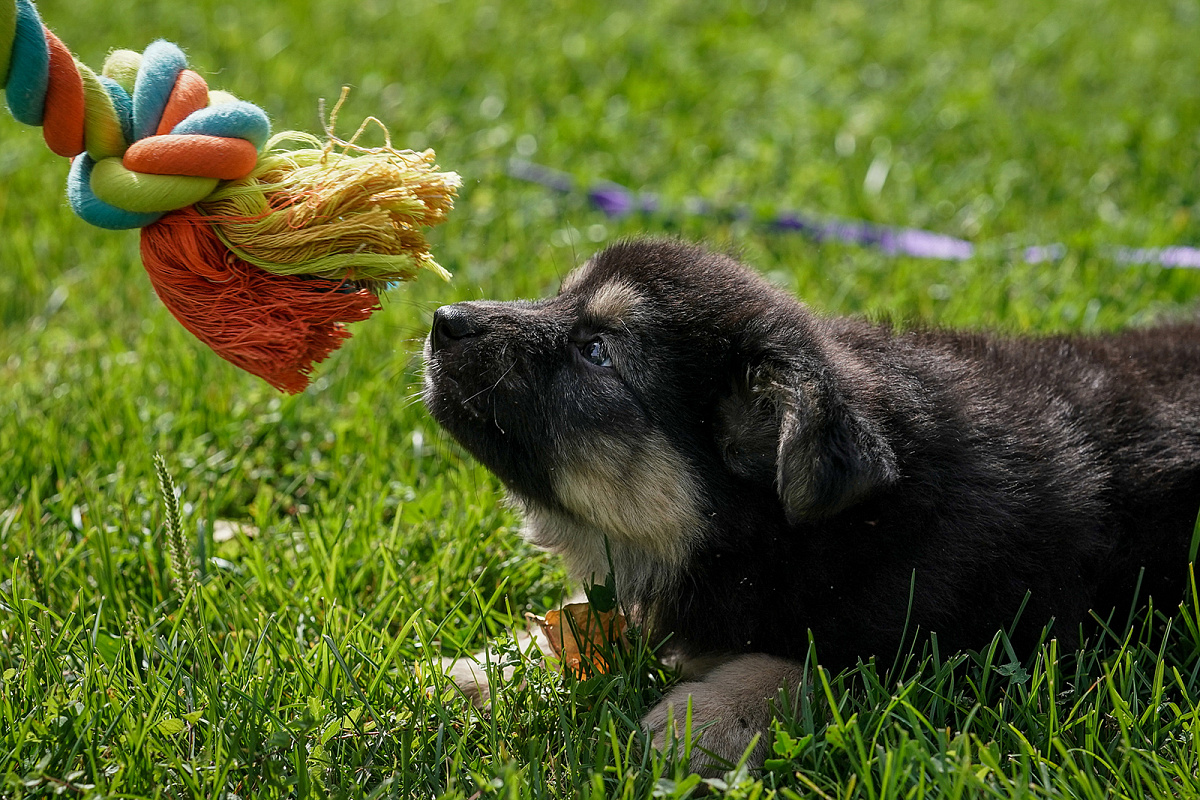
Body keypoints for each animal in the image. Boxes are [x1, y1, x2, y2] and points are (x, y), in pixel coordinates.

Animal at [420, 239, 1200, 777]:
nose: (442, 320)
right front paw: (478, 671)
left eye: (597, 350)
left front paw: (704, 719)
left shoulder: (965, 644)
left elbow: (817, 667)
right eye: (558, 300)